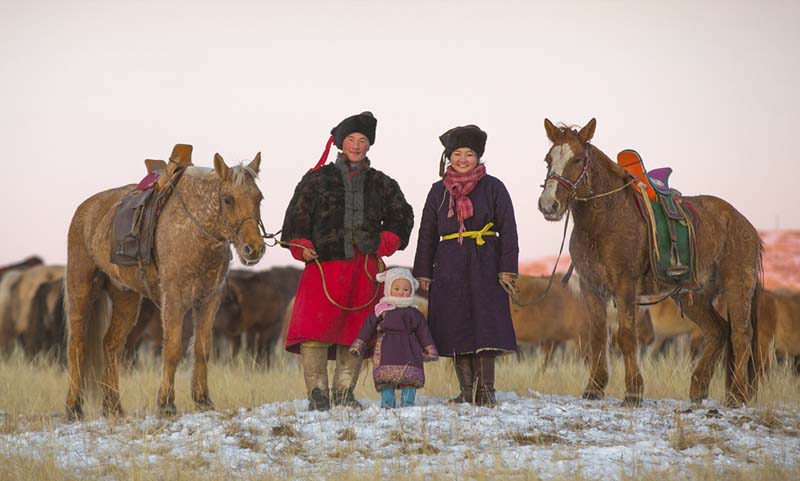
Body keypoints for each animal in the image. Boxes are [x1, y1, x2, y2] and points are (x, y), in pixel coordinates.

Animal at [65, 153, 265, 419]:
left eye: (259, 198)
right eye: (228, 199)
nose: (254, 249)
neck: (194, 230)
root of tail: (85, 209)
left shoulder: (209, 300)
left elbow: (202, 349)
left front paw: (203, 400)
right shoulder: (173, 300)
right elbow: (172, 349)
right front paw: (166, 403)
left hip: (126, 298)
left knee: (111, 345)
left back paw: (113, 406)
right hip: (80, 288)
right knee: (77, 345)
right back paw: (73, 407)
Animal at [537, 119, 763, 407]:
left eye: (578, 159)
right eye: (548, 159)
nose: (549, 205)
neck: (604, 219)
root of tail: (743, 222)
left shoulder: (625, 287)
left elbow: (626, 336)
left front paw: (633, 391)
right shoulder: (592, 287)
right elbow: (597, 336)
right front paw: (594, 388)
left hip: (738, 286)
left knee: (741, 335)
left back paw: (736, 395)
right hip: (693, 295)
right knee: (718, 331)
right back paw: (698, 387)